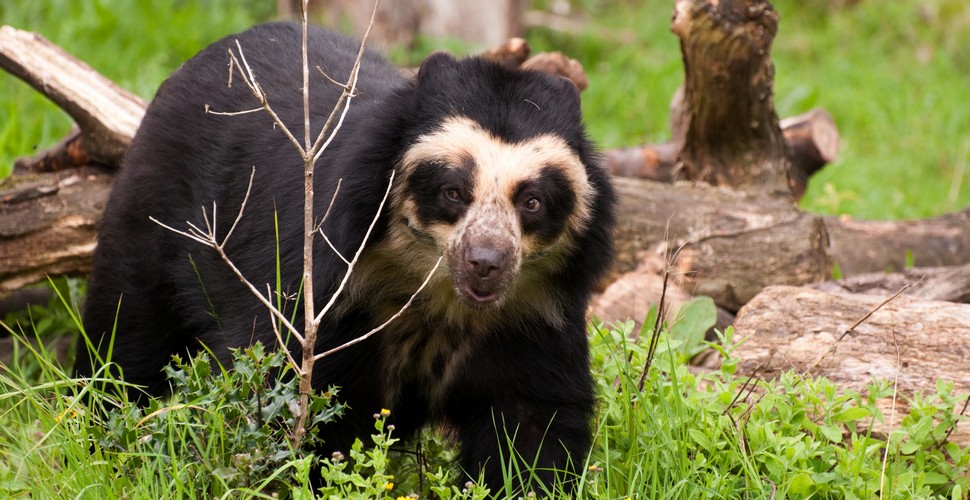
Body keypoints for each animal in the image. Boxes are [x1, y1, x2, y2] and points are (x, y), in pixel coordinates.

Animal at [79, 21, 616, 490]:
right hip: (153, 213)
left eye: (532, 201)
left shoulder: (533, 312)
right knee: (128, 334)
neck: (435, 292)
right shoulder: (325, 285)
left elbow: (533, 423)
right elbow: (283, 389)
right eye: (453, 191)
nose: (486, 262)